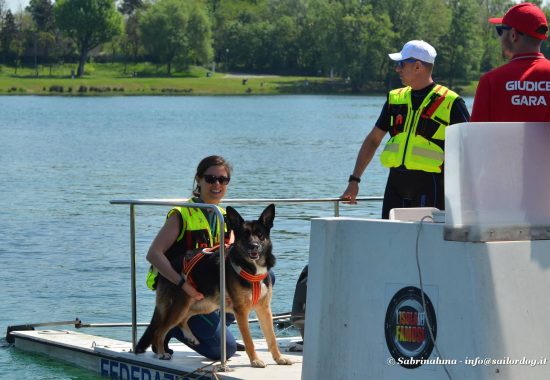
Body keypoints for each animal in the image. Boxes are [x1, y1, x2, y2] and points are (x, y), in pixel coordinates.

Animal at [136, 205, 294, 368]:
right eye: (245, 236)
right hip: (180, 305)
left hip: (204, 305)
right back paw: (161, 352)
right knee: (160, 330)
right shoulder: (241, 311)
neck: (252, 268)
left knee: (183, 319)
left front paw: (279, 358)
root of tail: (169, 264)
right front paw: (255, 360)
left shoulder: (264, 309)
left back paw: (190, 337)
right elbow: (249, 341)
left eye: (260, 235)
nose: (254, 246)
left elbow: (272, 338)